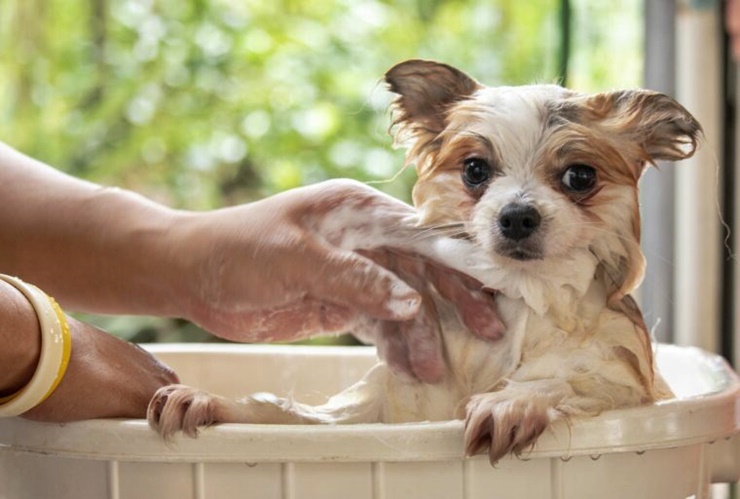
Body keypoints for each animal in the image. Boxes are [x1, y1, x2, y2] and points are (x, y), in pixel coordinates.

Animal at [146, 59, 700, 464]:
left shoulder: (627, 386)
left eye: (580, 177)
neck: (525, 298)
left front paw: (513, 400)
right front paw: (214, 403)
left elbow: (569, 380)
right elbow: (296, 416)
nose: (517, 215)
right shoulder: (391, 407)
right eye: (475, 170)